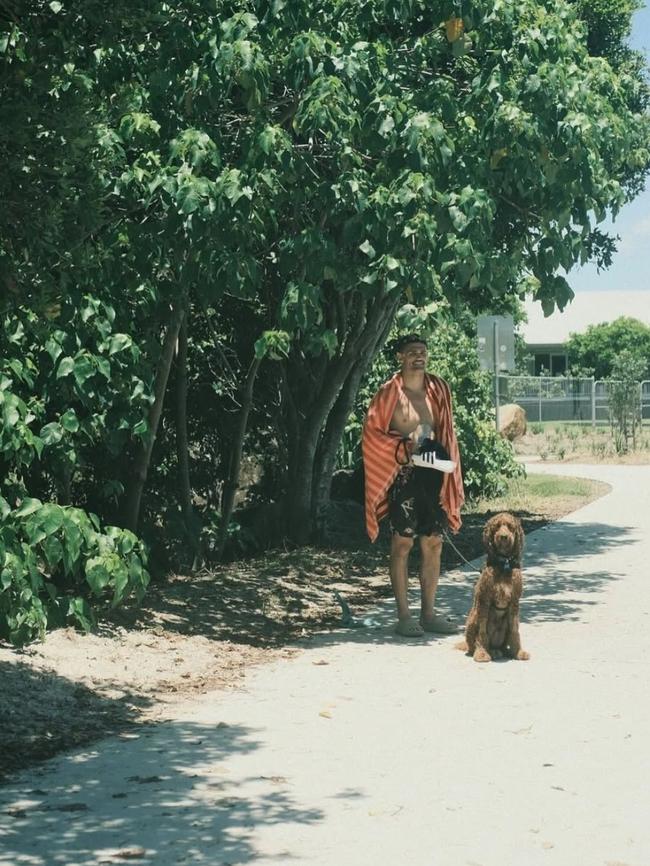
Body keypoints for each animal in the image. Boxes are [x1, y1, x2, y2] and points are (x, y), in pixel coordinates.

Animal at [458, 512, 528, 660]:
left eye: (510, 526)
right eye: (496, 526)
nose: (503, 537)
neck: (504, 563)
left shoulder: (514, 602)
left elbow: (514, 630)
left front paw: (518, 652)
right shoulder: (484, 600)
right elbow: (482, 631)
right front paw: (482, 653)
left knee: (503, 642)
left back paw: (504, 651)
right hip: (472, 618)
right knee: (473, 644)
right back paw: (485, 651)